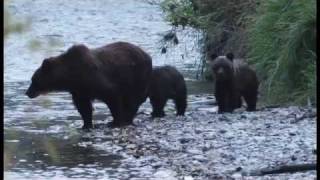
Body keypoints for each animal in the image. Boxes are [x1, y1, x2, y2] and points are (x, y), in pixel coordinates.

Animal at [25, 41, 153, 129]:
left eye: (34, 80)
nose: (27, 93)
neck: (72, 75)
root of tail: (147, 54)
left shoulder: (97, 80)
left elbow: (112, 96)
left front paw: (116, 122)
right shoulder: (79, 90)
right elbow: (83, 107)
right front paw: (86, 124)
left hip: (137, 76)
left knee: (134, 99)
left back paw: (127, 119)